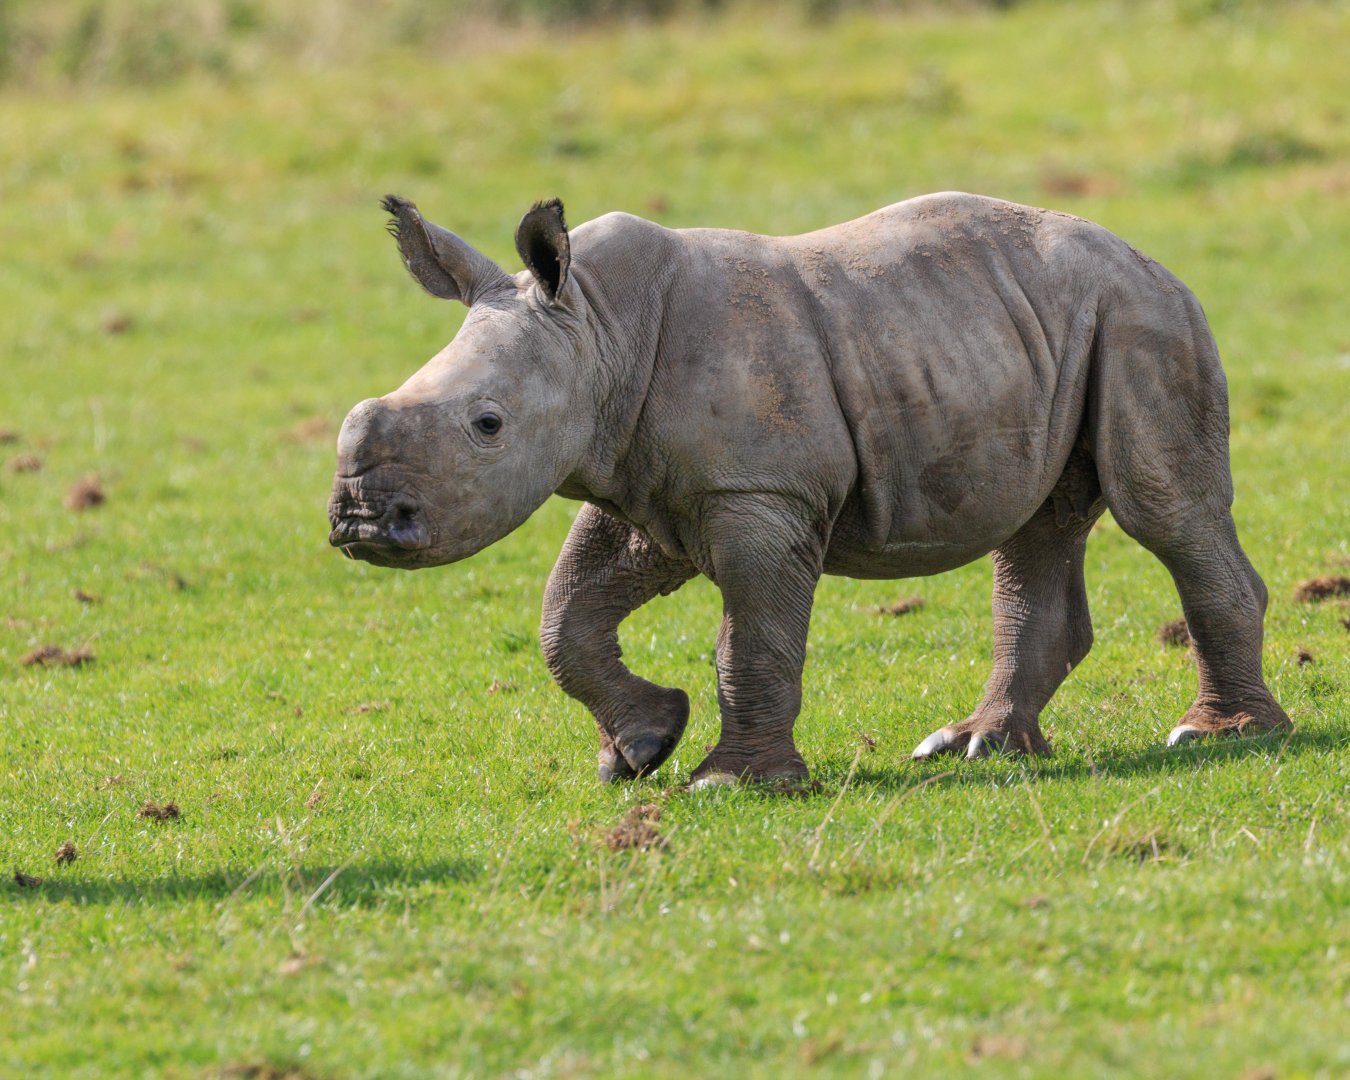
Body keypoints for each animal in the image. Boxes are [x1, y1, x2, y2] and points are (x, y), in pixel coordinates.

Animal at [328, 192, 1290, 786]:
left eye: (487, 425)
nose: (359, 523)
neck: (596, 327)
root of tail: (1150, 256)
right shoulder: (645, 483)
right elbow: (566, 615)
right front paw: (640, 747)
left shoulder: (760, 491)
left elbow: (751, 636)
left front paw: (731, 781)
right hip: (1048, 329)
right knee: (1038, 527)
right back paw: (977, 747)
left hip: (1141, 321)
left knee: (1161, 510)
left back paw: (1217, 737)